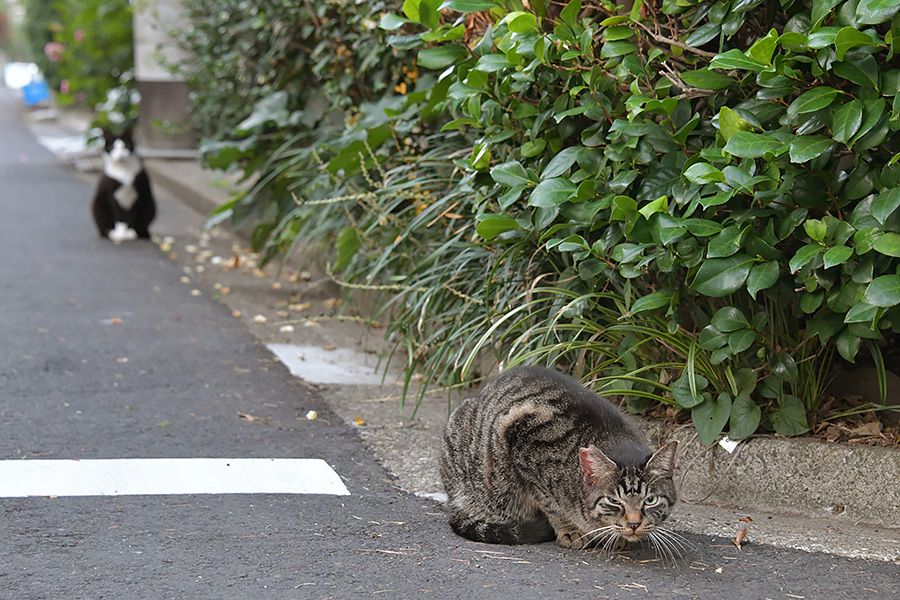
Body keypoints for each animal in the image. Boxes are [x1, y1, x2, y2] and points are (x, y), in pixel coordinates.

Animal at [438, 366, 684, 556]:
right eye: (614, 501)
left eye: (650, 500)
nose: (634, 524)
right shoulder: (522, 443)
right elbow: (550, 503)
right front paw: (570, 530)